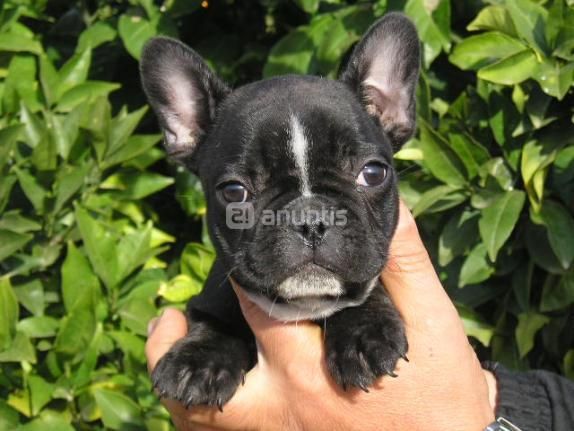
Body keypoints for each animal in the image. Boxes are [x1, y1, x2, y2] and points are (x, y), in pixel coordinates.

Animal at [142, 12, 420, 412]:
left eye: (372, 173)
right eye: (234, 191)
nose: (311, 219)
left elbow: (367, 289)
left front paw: (364, 334)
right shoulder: (209, 297)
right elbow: (212, 319)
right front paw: (198, 360)